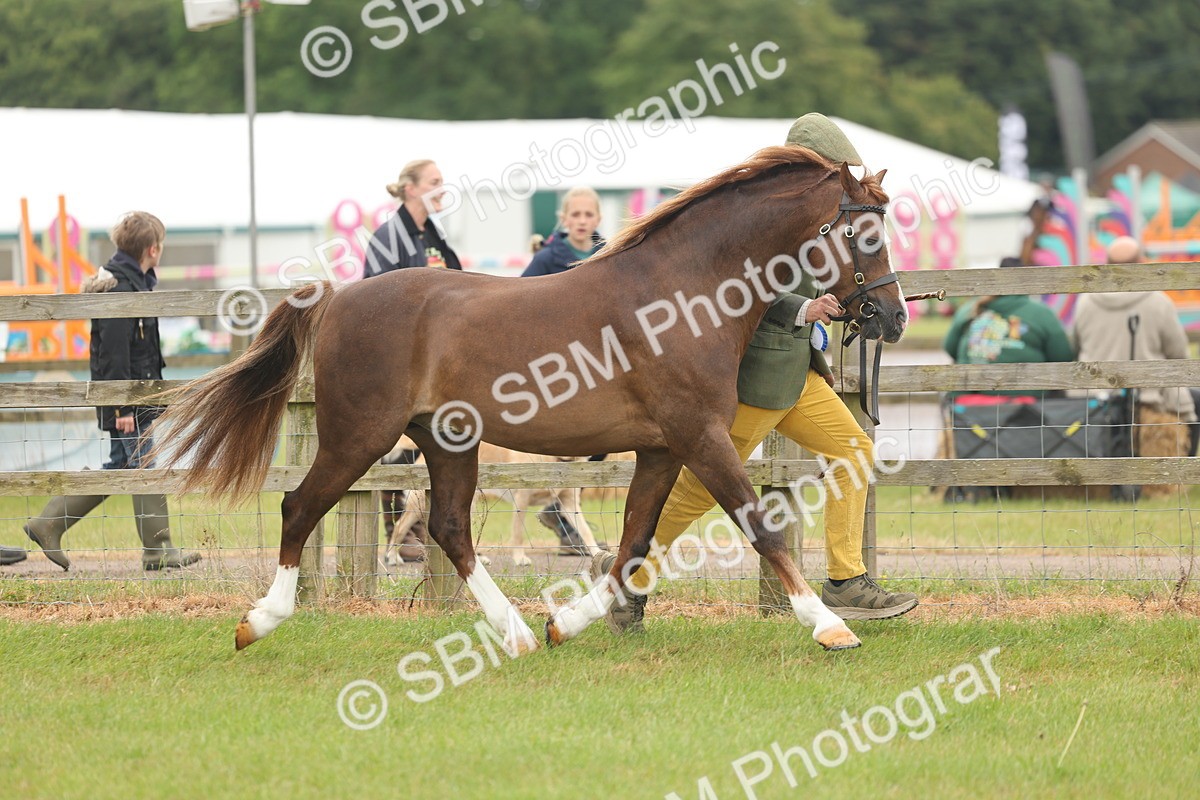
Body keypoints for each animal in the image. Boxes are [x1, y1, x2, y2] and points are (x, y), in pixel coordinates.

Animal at [150, 145, 906, 655]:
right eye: (862, 233)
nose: (893, 319)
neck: (684, 293)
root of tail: (335, 298)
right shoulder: (700, 437)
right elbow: (759, 525)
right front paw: (830, 627)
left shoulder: (663, 448)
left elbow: (631, 541)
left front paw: (566, 621)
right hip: (358, 436)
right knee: (301, 507)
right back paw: (258, 621)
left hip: (445, 443)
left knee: (449, 529)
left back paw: (514, 631)